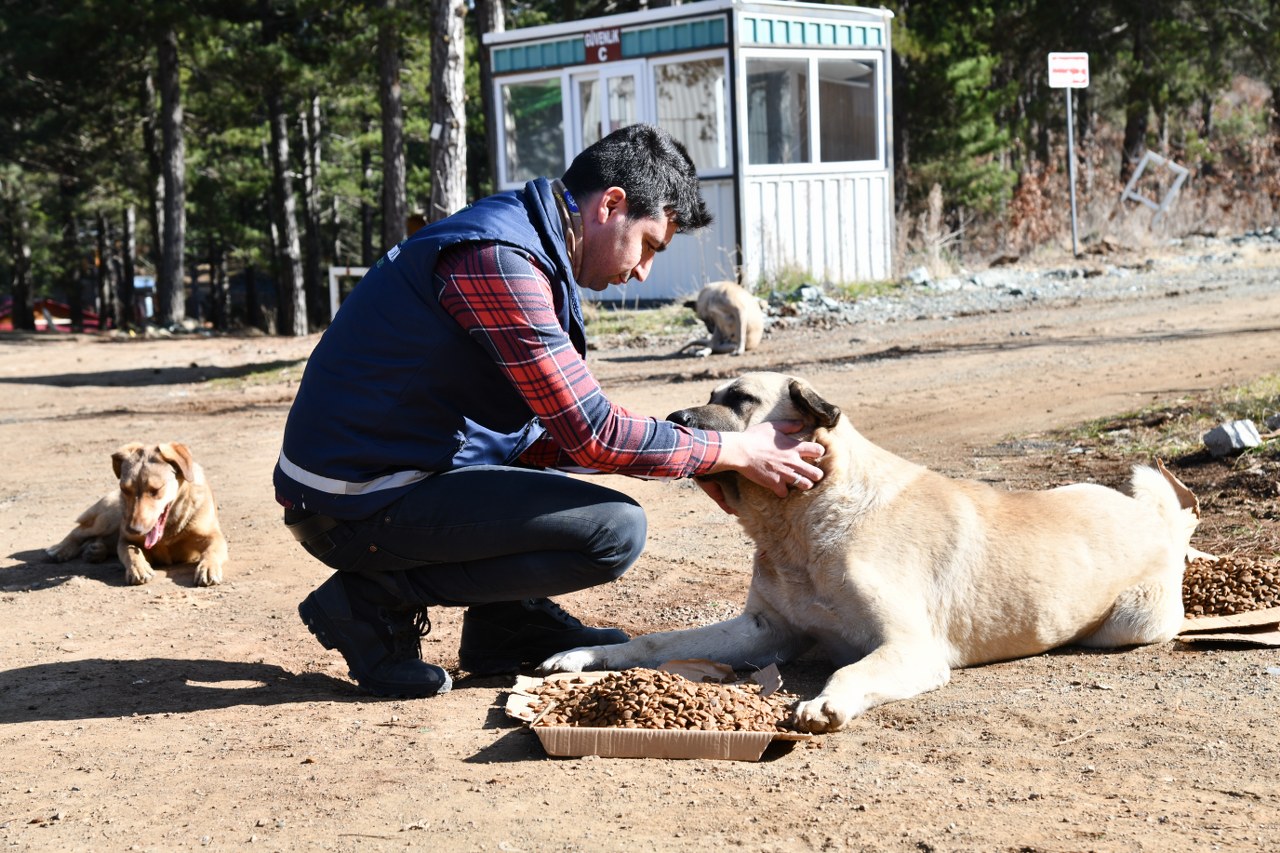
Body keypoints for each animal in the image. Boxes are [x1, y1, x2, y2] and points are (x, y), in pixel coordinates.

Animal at [48, 438, 230, 584]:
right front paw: (139, 569)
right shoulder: (126, 539)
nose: (134, 529)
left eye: (155, 490)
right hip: (110, 517)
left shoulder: (213, 536)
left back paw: (96, 551)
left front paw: (207, 568)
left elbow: (211, 551)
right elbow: (131, 552)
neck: (168, 532)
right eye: (125, 489)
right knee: (79, 531)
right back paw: (60, 549)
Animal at [540, 371, 1198, 732]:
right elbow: (658, 642)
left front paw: (827, 703)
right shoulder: (764, 631)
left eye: (743, 400)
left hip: (1131, 621)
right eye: (708, 393)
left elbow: (850, 667)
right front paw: (584, 656)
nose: (673, 418)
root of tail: (1156, 519)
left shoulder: (909, 647)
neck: (804, 521)